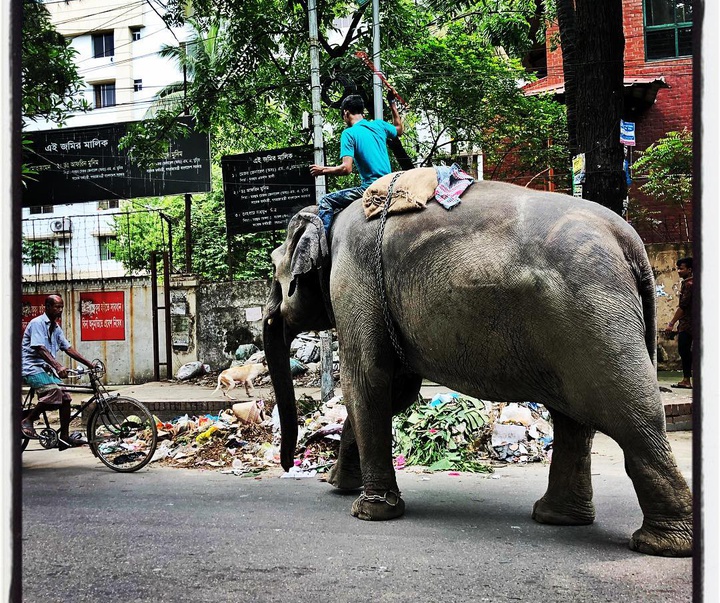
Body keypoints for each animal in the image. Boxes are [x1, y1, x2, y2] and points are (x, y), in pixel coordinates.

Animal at [262, 178, 692, 556]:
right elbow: (394, 392)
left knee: (632, 417)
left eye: (273, 270)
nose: (288, 465)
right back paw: (557, 517)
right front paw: (339, 485)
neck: (332, 213)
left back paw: (661, 545)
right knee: (576, 419)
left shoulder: (354, 277)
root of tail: (631, 242)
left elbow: (367, 383)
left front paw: (367, 511)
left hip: (594, 315)